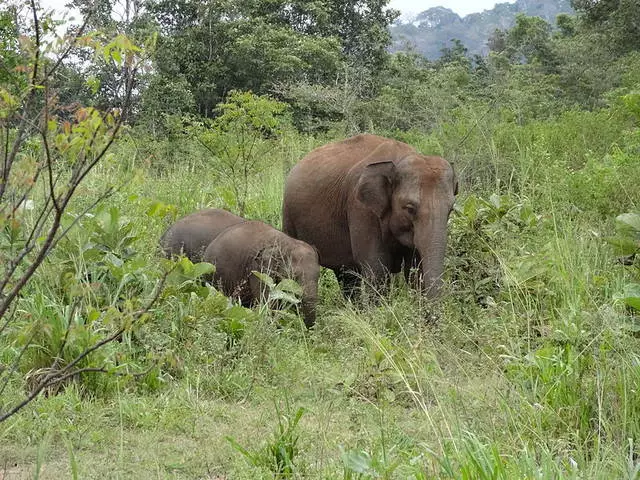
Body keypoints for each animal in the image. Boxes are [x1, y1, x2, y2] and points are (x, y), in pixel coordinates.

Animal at [282, 134, 458, 296]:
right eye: (409, 208)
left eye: (451, 210)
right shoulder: (360, 208)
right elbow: (377, 269)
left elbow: (415, 270)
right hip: (288, 216)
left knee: (346, 275)